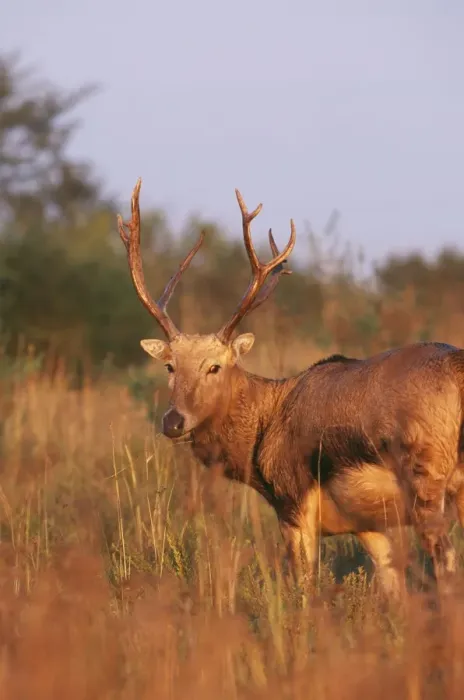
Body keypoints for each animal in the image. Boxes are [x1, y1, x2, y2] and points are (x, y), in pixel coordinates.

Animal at [118, 178, 464, 599]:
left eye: (215, 366)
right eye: (169, 366)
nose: (173, 421)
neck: (265, 425)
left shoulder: (293, 501)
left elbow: (303, 590)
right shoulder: (367, 524)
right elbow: (393, 589)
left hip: (425, 477)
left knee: (447, 563)